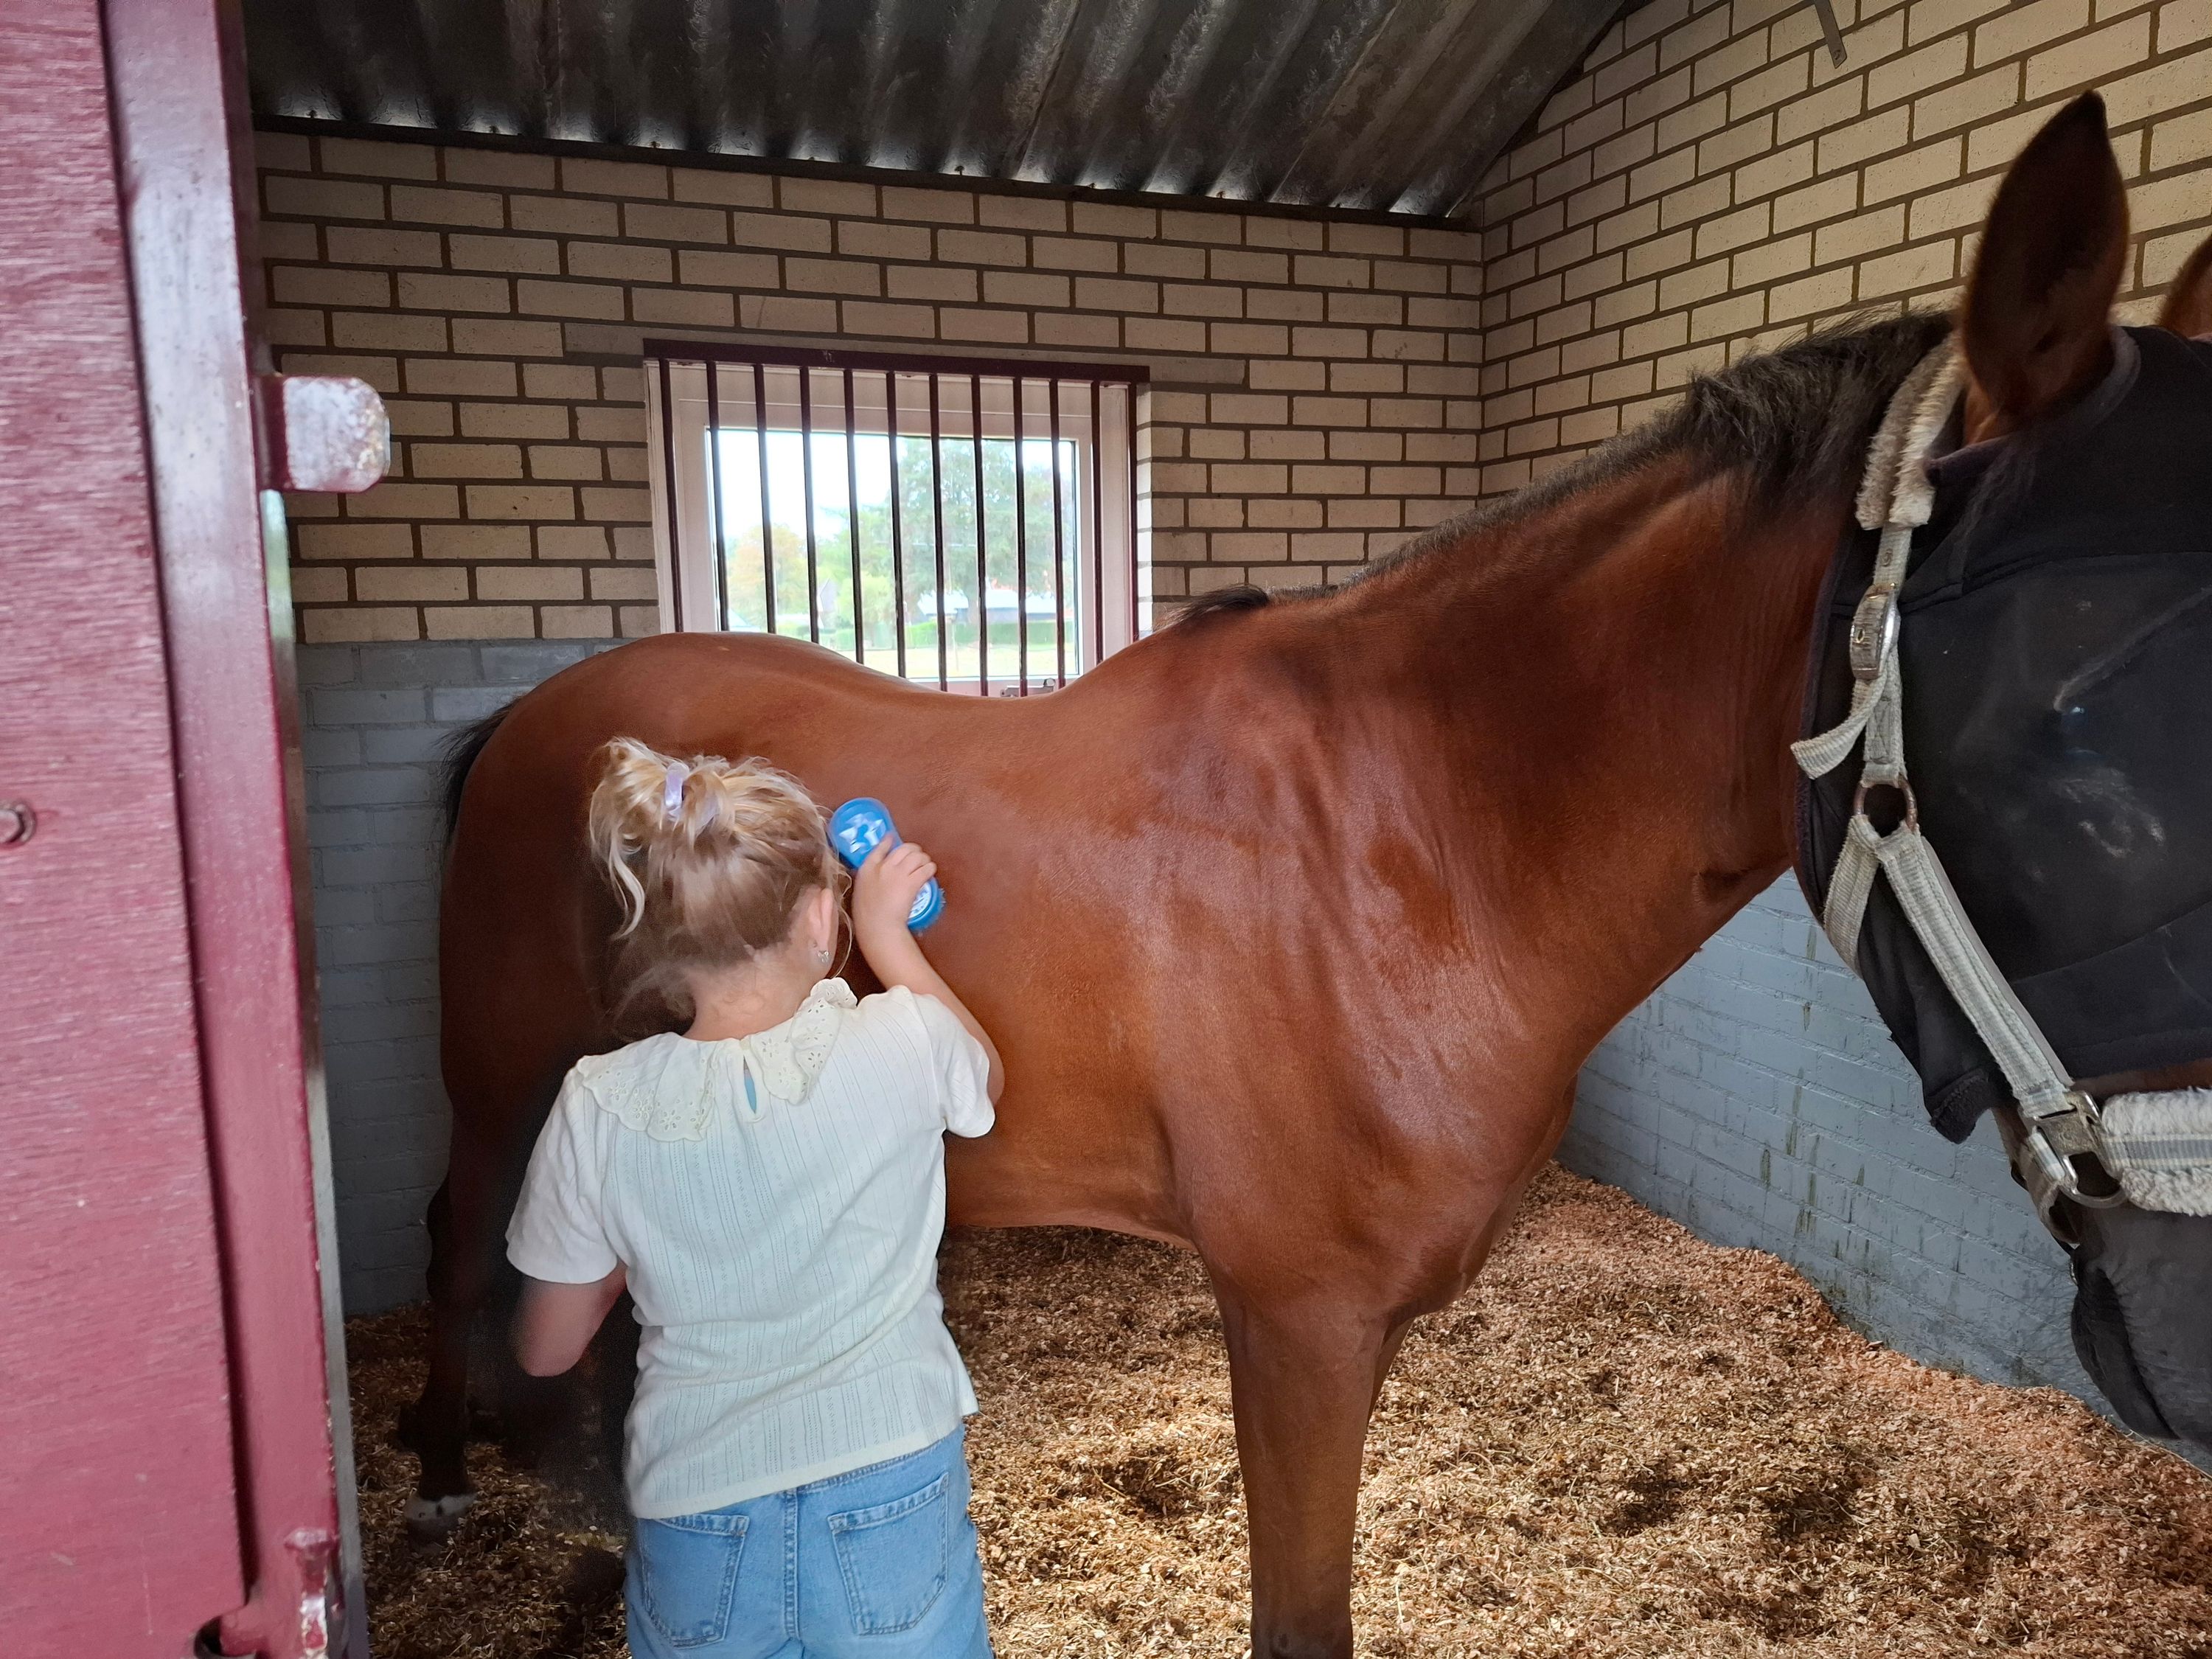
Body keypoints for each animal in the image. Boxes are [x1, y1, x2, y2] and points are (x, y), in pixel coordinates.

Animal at [406, 93, 2212, 1656]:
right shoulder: (1295, 1323)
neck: (1406, 840)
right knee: (456, 1221)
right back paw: (435, 1471)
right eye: (2054, 719)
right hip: (505, 1076)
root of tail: (534, 717)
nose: (2183, 1329)